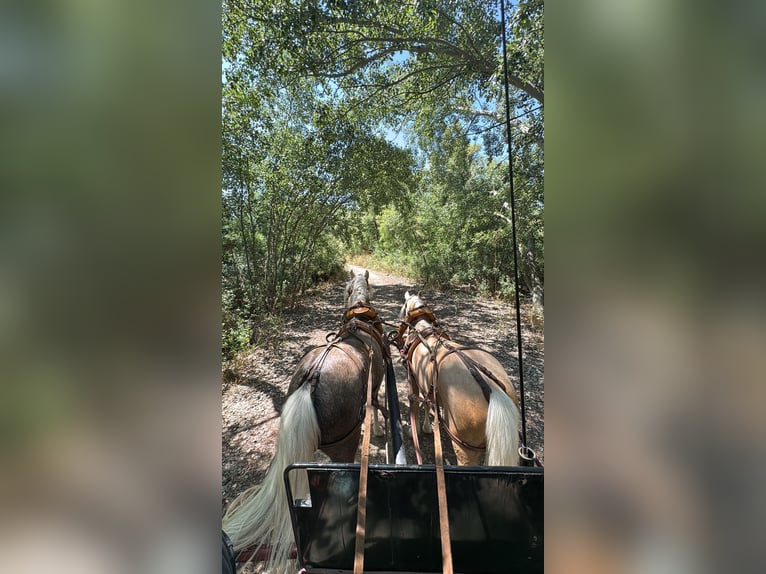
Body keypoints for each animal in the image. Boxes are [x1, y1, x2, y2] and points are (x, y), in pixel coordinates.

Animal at [400, 292, 524, 468]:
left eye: (403, 306)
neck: (423, 331)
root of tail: (492, 390)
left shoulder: (414, 378)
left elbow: (416, 405)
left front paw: (414, 430)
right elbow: (427, 402)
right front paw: (427, 427)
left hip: (465, 448)